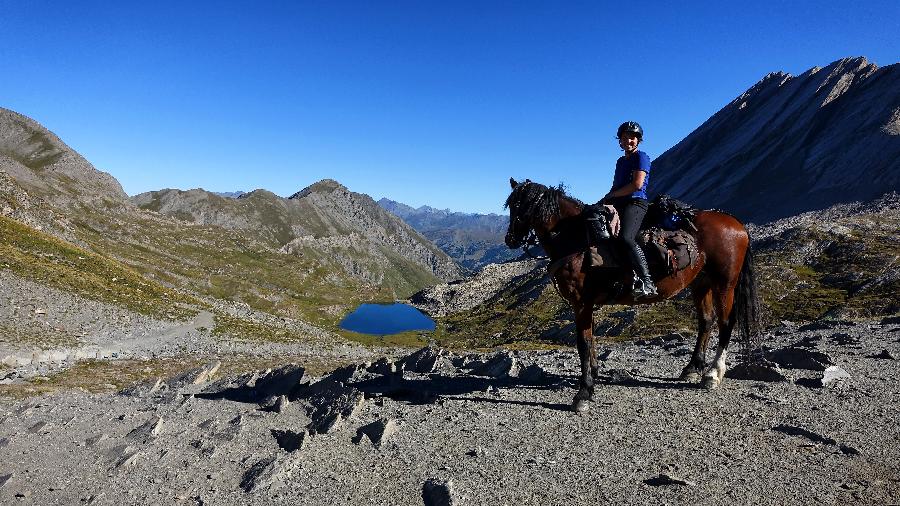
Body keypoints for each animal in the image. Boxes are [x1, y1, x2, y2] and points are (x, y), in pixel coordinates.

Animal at [506, 178, 760, 412]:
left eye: (522, 206)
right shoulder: (587, 305)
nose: (510, 240)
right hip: (701, 283)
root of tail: (736, 223)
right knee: (706, 321)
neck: (576, 240)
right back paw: (692, 368)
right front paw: (593, 375)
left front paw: (584, 392)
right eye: (511, 205)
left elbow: (583, 343)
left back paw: (713, 374)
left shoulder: (581, 303)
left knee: (726, 323)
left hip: (724, 283)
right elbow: (591, 339)